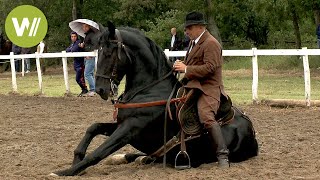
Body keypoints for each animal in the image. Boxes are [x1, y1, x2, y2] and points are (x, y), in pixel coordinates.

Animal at [51, 22, 258, 176]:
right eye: (98, 52)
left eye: (109, 53)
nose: (101, 89)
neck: (149, 89)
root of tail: (251, 131)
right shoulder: (121, 124)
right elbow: (93, 127)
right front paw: (76, 157)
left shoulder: (130, 128)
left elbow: (98, 152)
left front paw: (64, 172)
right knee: (146, 156)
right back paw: (127, 158)